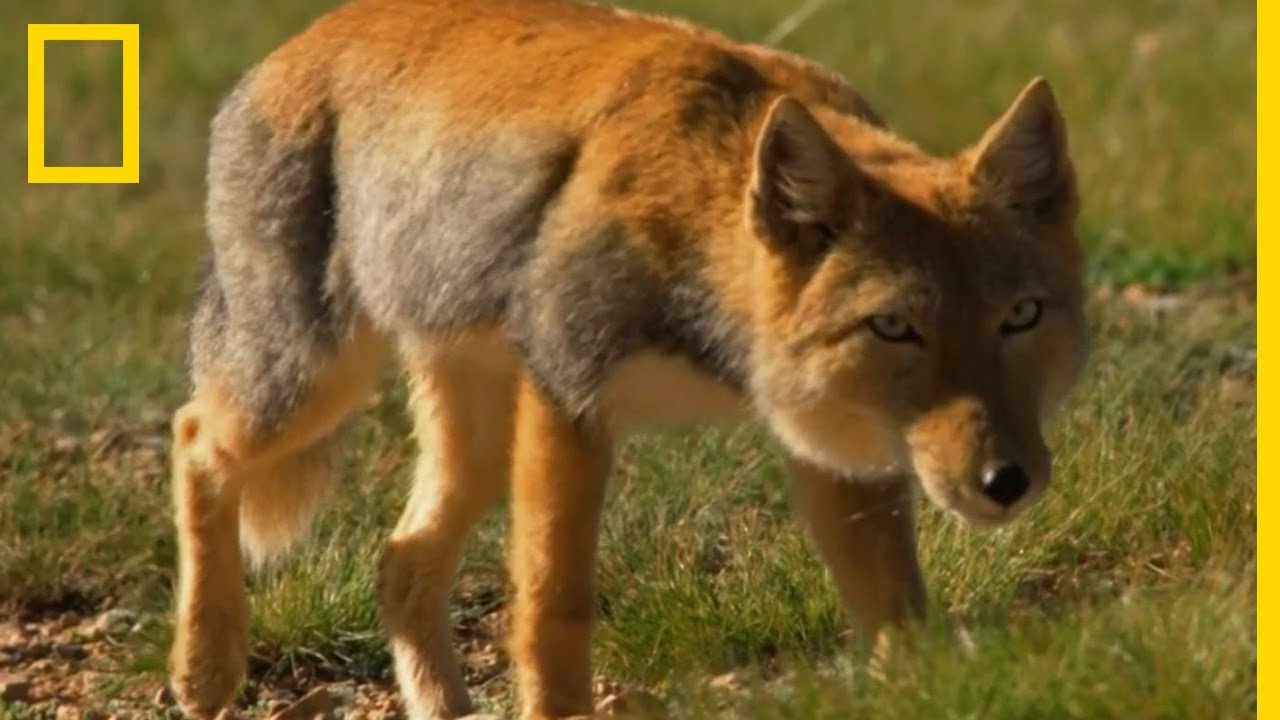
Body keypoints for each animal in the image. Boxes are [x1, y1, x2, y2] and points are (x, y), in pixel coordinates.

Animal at [166, 0, 1087, 717]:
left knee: (399, 561)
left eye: (1020, 318)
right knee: (191, 438)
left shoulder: (838, 453)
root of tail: (299, 43)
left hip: (470, 446)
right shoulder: (568, 398)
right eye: (895, 327)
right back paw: (205, 665)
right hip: (305, 391)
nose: (1007, 481)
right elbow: (553, 606)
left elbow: (897, 611)